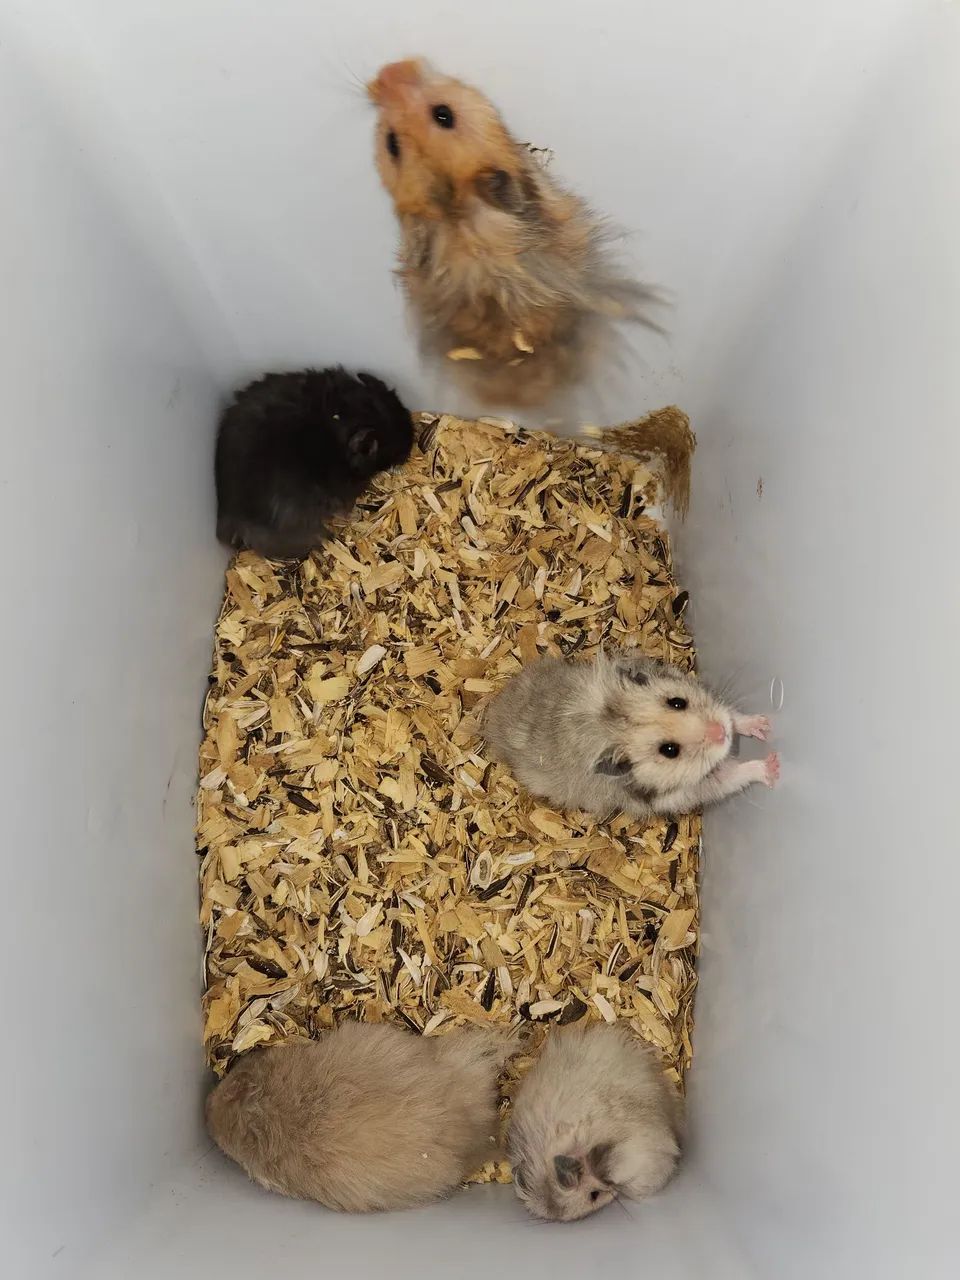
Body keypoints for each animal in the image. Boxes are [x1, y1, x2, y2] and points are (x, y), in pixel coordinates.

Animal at [485, 648, 779, 819]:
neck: (615, 724)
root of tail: (493, 710)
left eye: (677, 702)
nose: (720, 733)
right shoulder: (684, 792)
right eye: (669, 751)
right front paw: (773, 767)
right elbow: (733, 775)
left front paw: (763, 726)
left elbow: (732, 716)